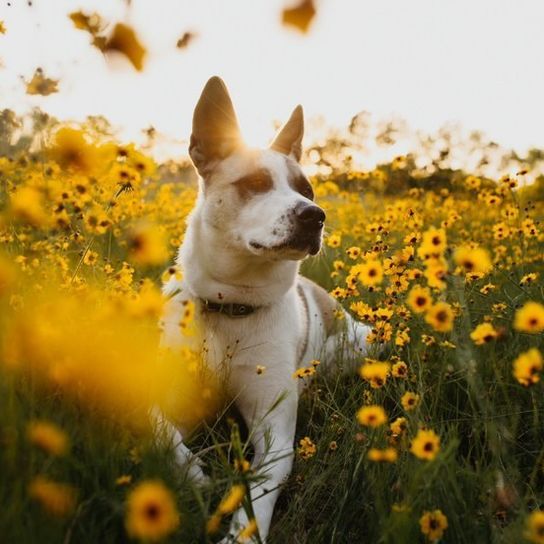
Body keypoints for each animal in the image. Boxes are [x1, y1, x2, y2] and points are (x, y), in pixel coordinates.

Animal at [157, 77, 370, 544]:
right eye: (255, 182)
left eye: (307, 190)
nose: (315, 215)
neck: (228, 305)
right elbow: (161, 431)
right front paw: (196, 477)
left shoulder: (275, 436)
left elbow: (256, 499)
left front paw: (237, 532)